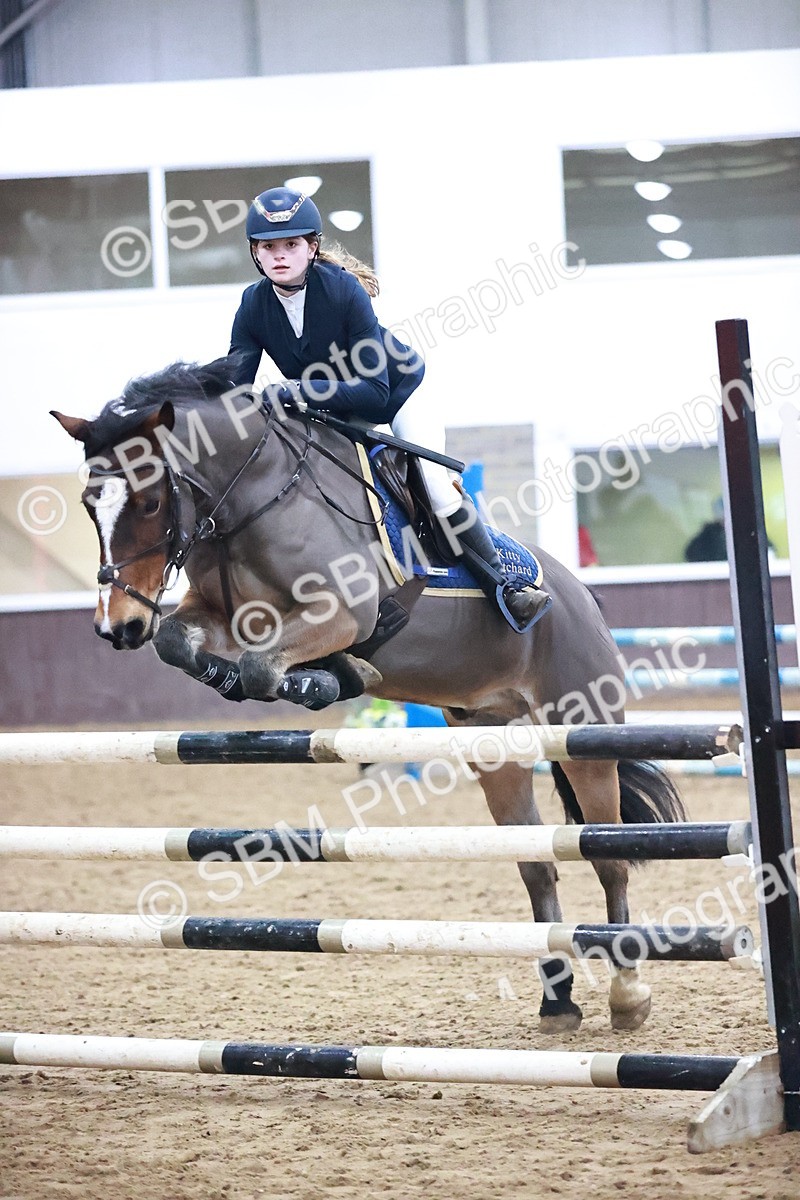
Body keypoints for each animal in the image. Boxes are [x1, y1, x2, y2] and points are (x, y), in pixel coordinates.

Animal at [52, 356, 685, 1035]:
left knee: (609, 857)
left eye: (149, 501)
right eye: (90, 505)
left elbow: (264, 666)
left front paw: (327, 678)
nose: (117, 627)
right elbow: (184, 644)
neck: (252, 499)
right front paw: (311, 677)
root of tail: (580, 595)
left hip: (582, 726)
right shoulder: (219, 615)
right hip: (493, 738)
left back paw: (628, 996)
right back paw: (558, 1001)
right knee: (536, 864)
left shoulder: (344, 613)